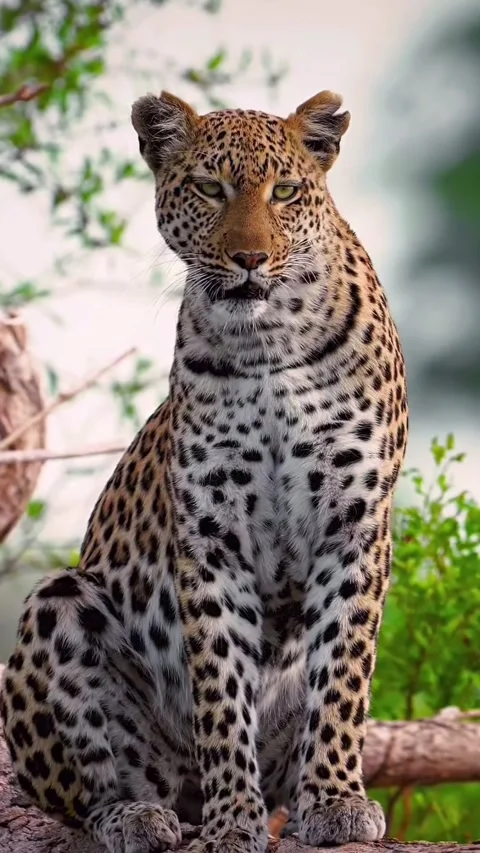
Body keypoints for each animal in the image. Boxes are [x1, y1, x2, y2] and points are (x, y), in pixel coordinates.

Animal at [1, 89, 408, 853]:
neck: (268, 340)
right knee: (87, 791)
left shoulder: (354, 525)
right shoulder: (211, 537)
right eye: (209, 188)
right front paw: (231, 820)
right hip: (58, 603)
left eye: (286, 192)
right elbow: (221, 690)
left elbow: (342, 675)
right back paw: (139, 815)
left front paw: (337, 799)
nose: (250, 257)